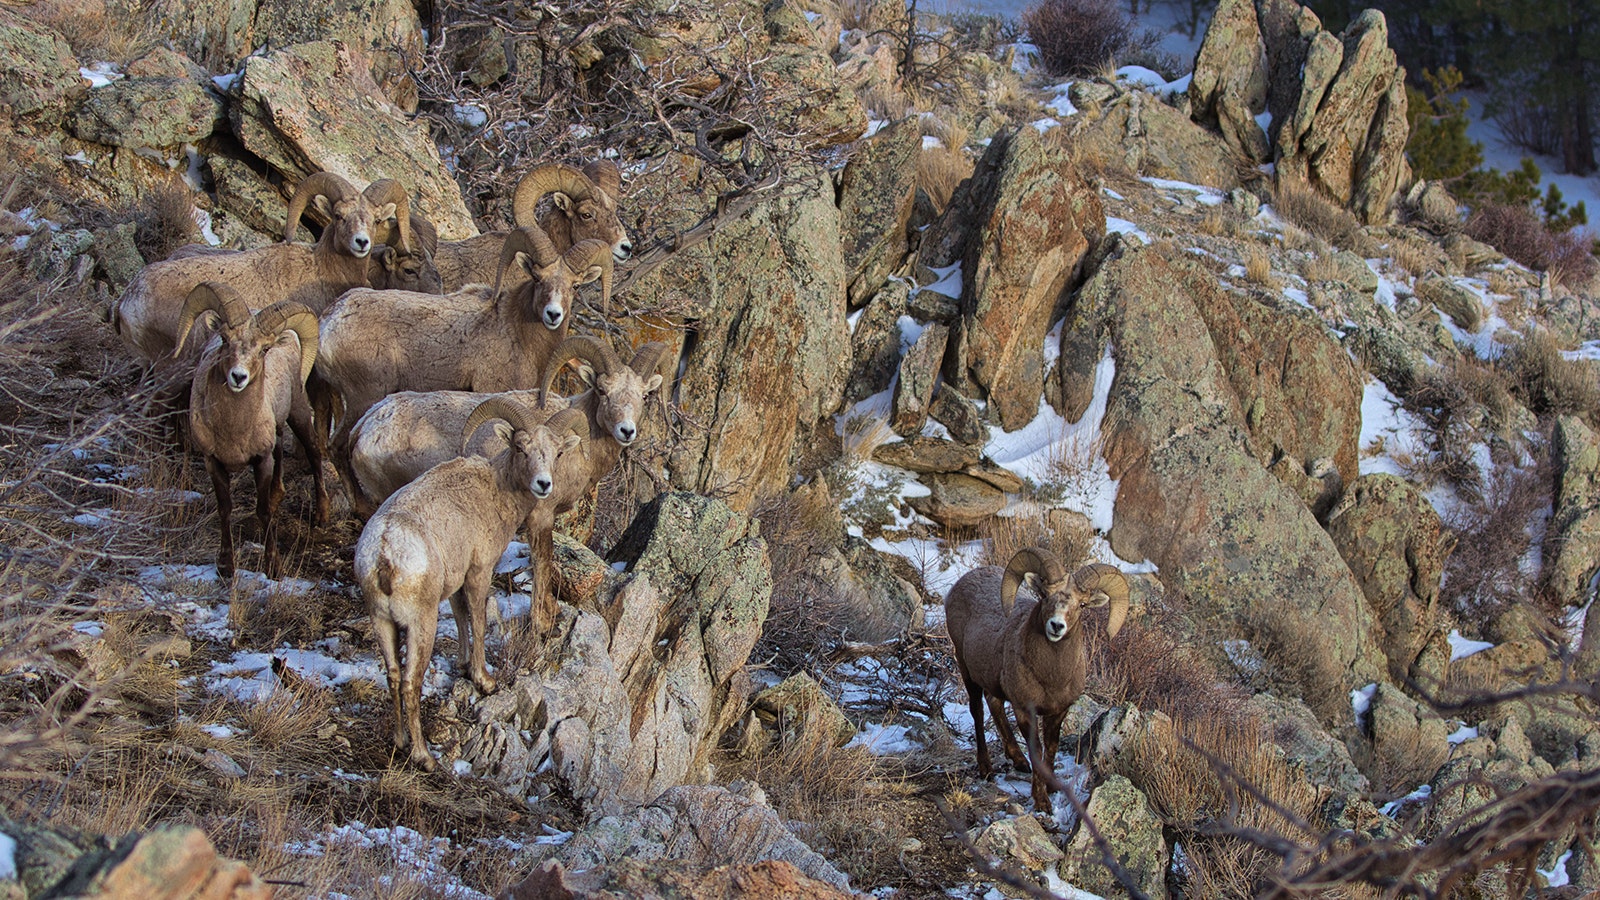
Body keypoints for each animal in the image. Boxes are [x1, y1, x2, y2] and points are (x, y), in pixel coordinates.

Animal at [175, 282, 323, 578]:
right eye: (224, 339)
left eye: (264, 349)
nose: (238, 377)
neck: (233, 430)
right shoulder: (213, 462)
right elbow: (225, 508)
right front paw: (226, 567)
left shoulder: (261, 460)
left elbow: (263, 511)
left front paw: (273, 567)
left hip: (298, 412)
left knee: (313, 451)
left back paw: (321, 516)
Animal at [315, 225, 614, 474]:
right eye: (538, 278)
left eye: (575, 285)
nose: (553, 314)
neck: (517, 330)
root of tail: (328, 323)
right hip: (363, 397)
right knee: (336, 448)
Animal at [355, 400, 589, 771]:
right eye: (520, 448)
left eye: (557, 453)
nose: (543, 484)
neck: (494, 491)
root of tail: (384, 554)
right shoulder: (479, 572)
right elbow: (478, 623)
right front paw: (484, 681)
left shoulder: (455, 583)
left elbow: (462, 619)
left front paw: (464, 667)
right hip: (421, 623)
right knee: (409, 682)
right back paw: (423, 757)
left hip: (381, 620)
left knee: (392, 674)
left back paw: (399, 740)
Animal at [944, 548, 1129, 811]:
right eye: (1044, 595)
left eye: (1082, 604)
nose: (1056, 626)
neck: (1050, 678)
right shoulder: (1025, 710)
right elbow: (1037, 749)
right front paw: (1041, 801)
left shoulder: (1058, 711)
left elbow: (1051, 747)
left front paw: (1051, 787)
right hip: (965, 668)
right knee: (978, 711)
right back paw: (986, 769)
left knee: (994, 703)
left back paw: (1019, 761)